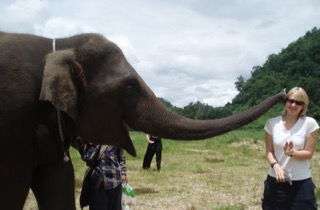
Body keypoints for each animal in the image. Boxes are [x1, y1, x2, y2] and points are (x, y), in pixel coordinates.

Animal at [0, 31, 284, 210]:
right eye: (130, 87)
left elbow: (59, 180)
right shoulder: (12, 120)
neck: (59, 44)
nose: (284, 93)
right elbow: (12, 186)